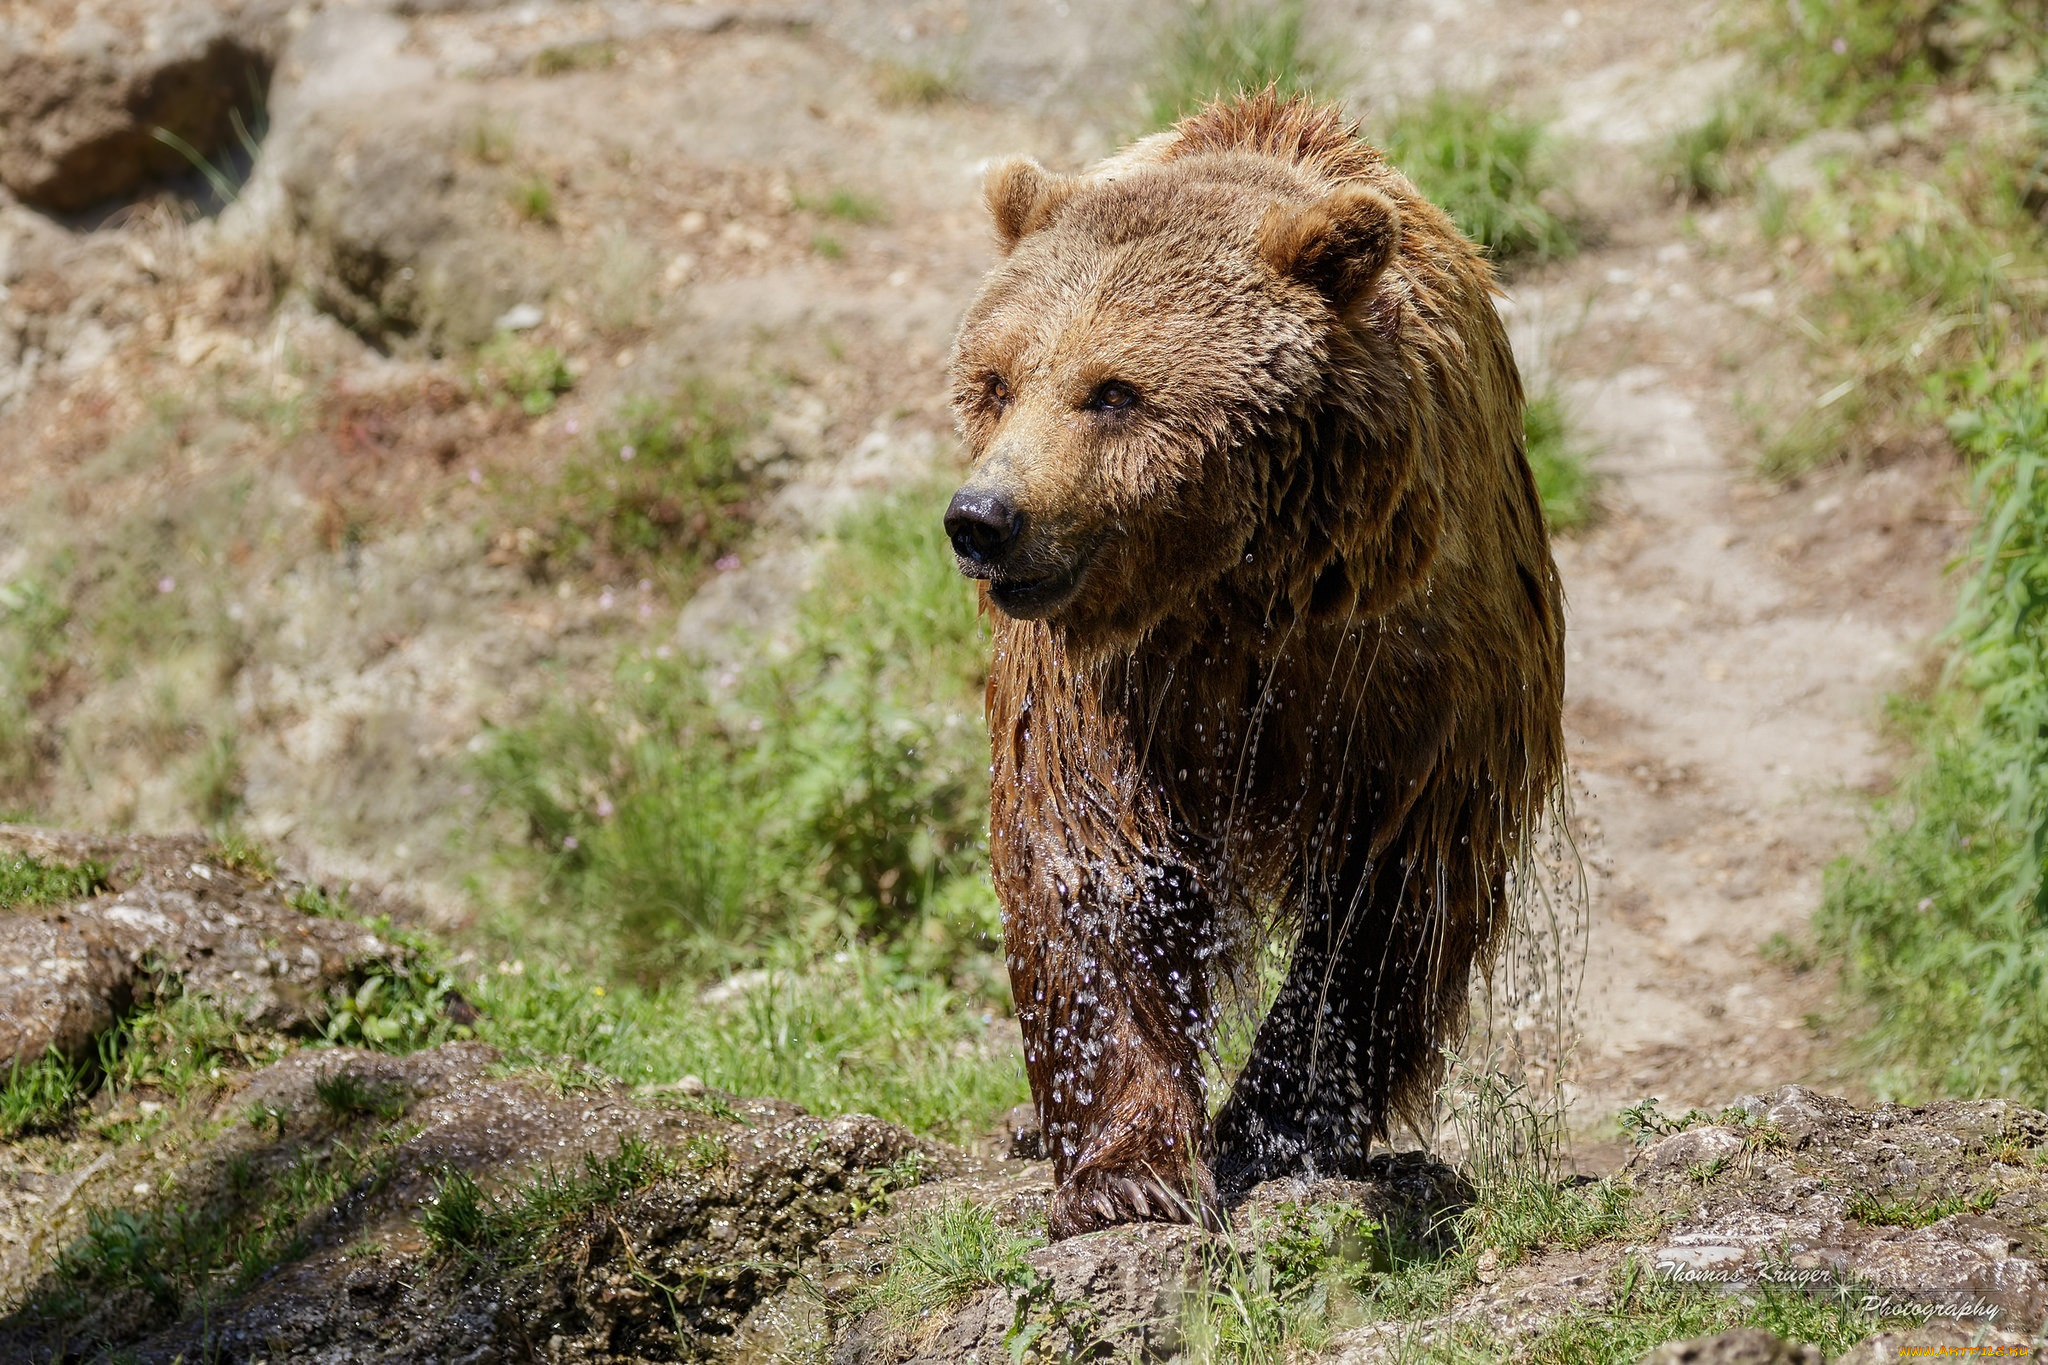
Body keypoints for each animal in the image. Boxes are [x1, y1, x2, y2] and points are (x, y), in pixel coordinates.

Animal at [942, 90, 1564, 1244]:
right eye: (996, 381)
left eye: (1113, 390)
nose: (984, 519)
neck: (1240, 589)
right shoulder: (1104, 684)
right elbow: (1091, 868)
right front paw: (1124, 1173)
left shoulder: (1407, 671)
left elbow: (1387, 897)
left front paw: (1277, 1124)